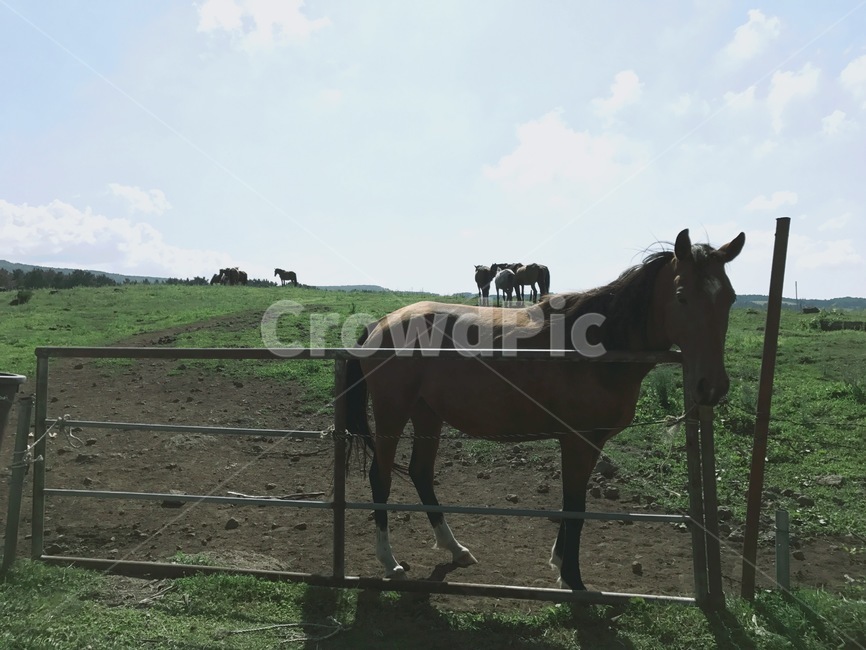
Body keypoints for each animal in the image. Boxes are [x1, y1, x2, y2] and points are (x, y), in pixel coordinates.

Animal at [345, 228, 745, 590]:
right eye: (681, 296)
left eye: (730, 298)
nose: (712, 386)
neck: (599, 346)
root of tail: (380, 324)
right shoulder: (578, 441)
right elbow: (575, 507)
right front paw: (574, 579)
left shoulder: (591, 443)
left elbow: (571, 505)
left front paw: (560, 563)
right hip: (393, 414)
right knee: (380, 479)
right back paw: (390, 562)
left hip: (427, 413)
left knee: (421, 473)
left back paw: (454, 548)